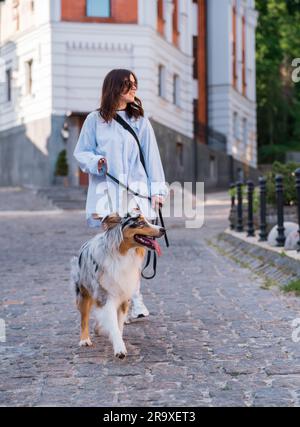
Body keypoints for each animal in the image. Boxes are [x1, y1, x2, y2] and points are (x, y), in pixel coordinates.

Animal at [70, 212, 165, 360]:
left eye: (148, 221)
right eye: (140, 223)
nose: (163, 229)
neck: (124, 254)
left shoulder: (124, 295)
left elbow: (119, 324)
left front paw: (118, 340)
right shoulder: (106, 295)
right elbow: (112, 324)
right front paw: (119, 349)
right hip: (83, 291)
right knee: (84, 317)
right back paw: (85, 340)